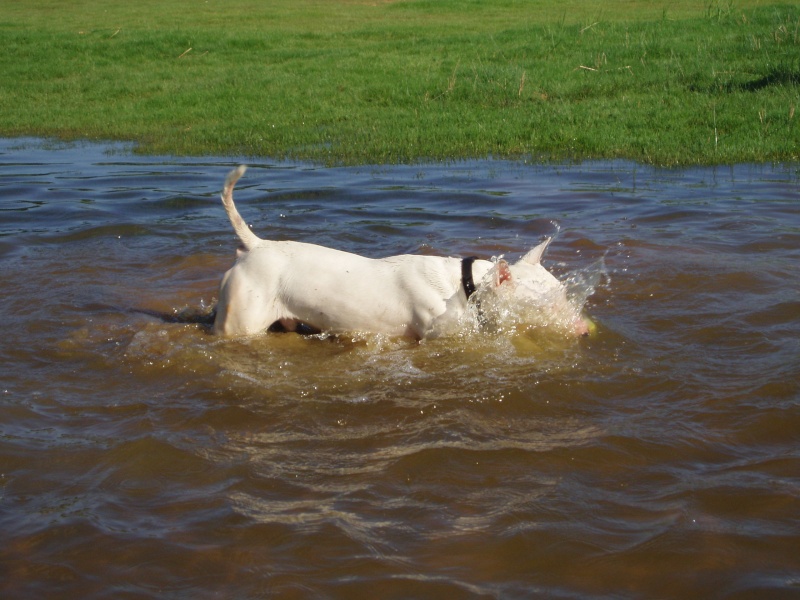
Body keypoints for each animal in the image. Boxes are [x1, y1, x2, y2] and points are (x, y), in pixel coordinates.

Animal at [211, 166, 588, 340]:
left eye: (563, 293)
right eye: (544, 303)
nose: (585, 329)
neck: (466, 285)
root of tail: (257, 245)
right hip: (241, 318)